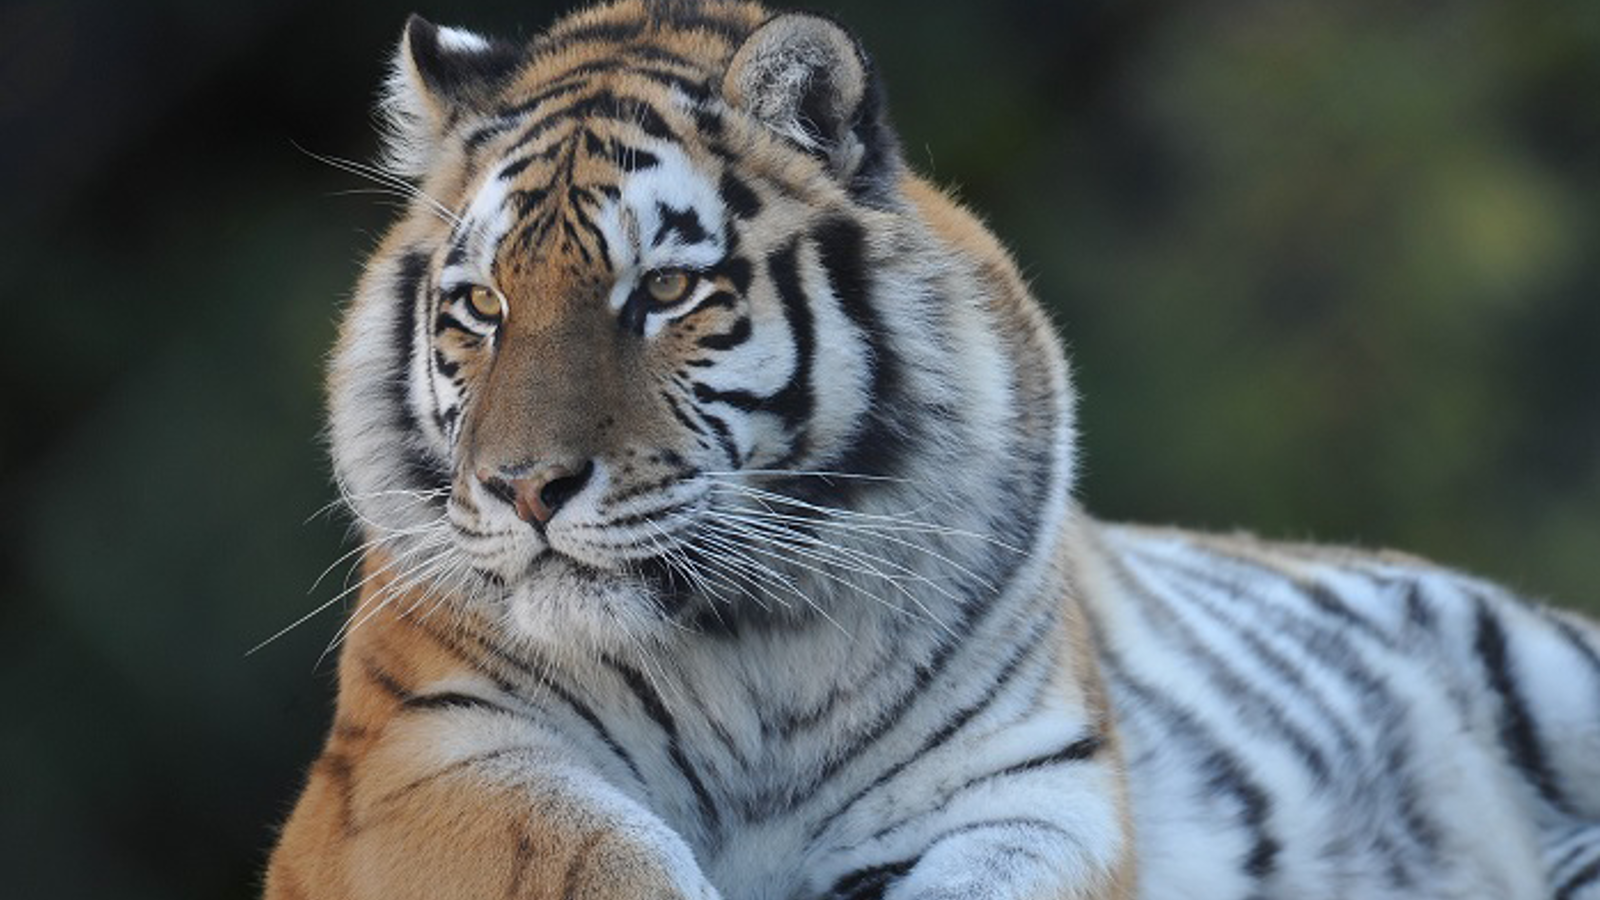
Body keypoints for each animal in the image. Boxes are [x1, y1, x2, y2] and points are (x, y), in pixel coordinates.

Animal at [262, 1, 1600, 896]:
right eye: (481, 307)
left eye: (668, 290)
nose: (523, 488)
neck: (739, 647)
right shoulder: (420, 756)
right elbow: (597, 853)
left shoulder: (1034, 779)